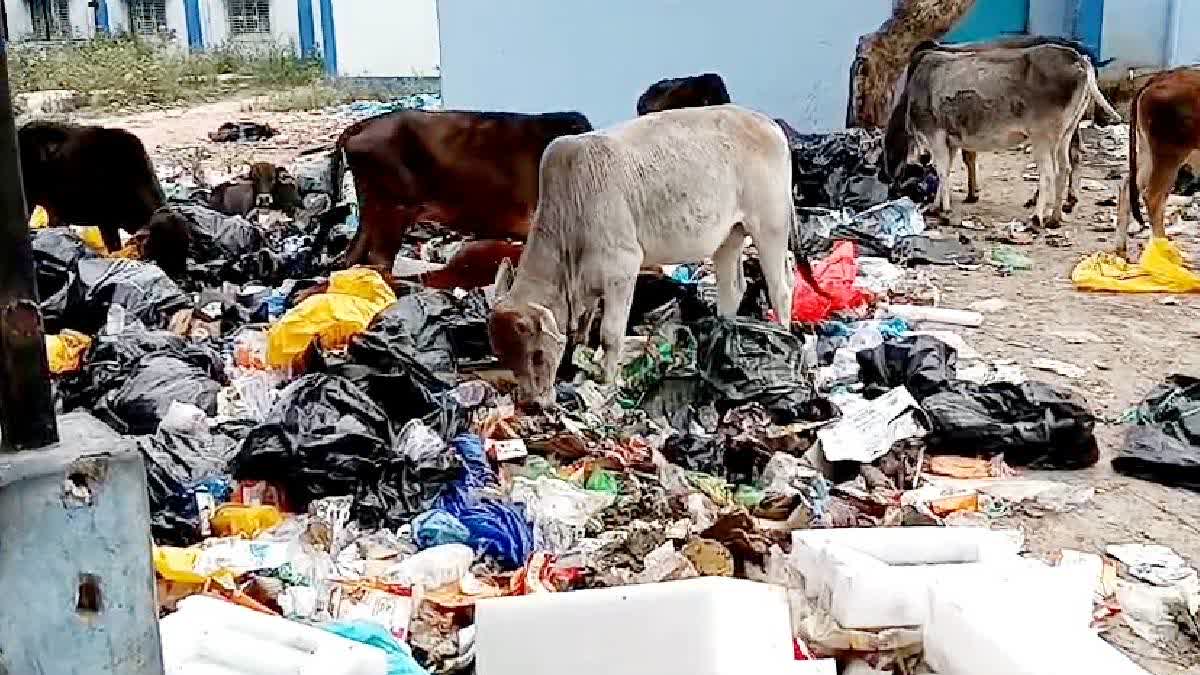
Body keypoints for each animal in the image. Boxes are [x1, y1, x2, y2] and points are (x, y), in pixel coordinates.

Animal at [883, 45, 1123, 228]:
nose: (890, 184)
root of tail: (1079, 59)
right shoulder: (950, 140)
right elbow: (946, 171)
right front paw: (936, 205)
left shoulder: (936, 135)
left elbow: (941, 171)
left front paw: (944, 209)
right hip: (1065, 133)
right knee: (1064, 168)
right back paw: (1055, 217)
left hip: (1043, 137)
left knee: (1049, 173)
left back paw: (1037, 217)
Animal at [1108, 68, 1200, 255]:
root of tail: (1160, 76)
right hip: (1169, 155)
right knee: (1153, 197)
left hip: (1146, 150)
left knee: (1128, 184)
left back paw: (1120, 247)